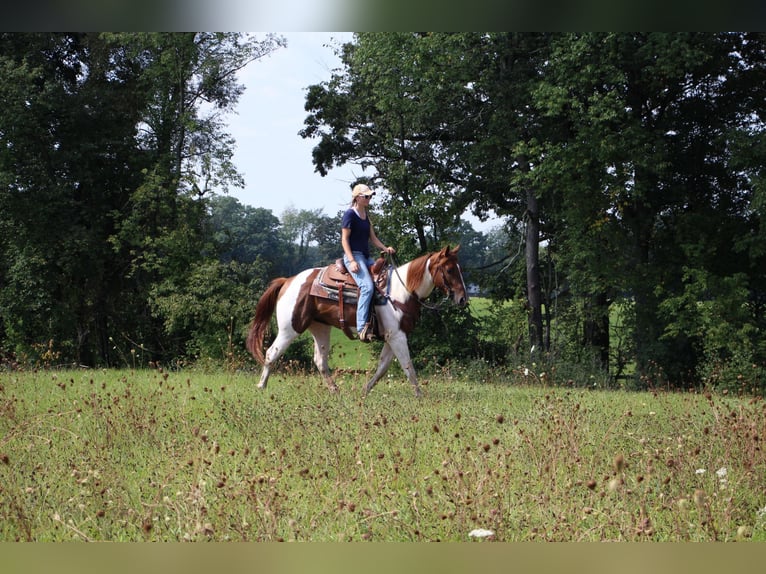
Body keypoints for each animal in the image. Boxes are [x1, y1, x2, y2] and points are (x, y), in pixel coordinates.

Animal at [249, 245, 472, 398]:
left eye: (460, 269)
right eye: (450, 270)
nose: (463, 299)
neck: (401, 291)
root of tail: (287, 280)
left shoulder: (392, 336)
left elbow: (383, 368)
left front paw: (365, 390)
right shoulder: (397, 337)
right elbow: (408, 366)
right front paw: (419, 396)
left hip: (320, 328)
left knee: (320, 361)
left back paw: (335, 390)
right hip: (290, 328)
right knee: (271, 353)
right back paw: (261, 386)